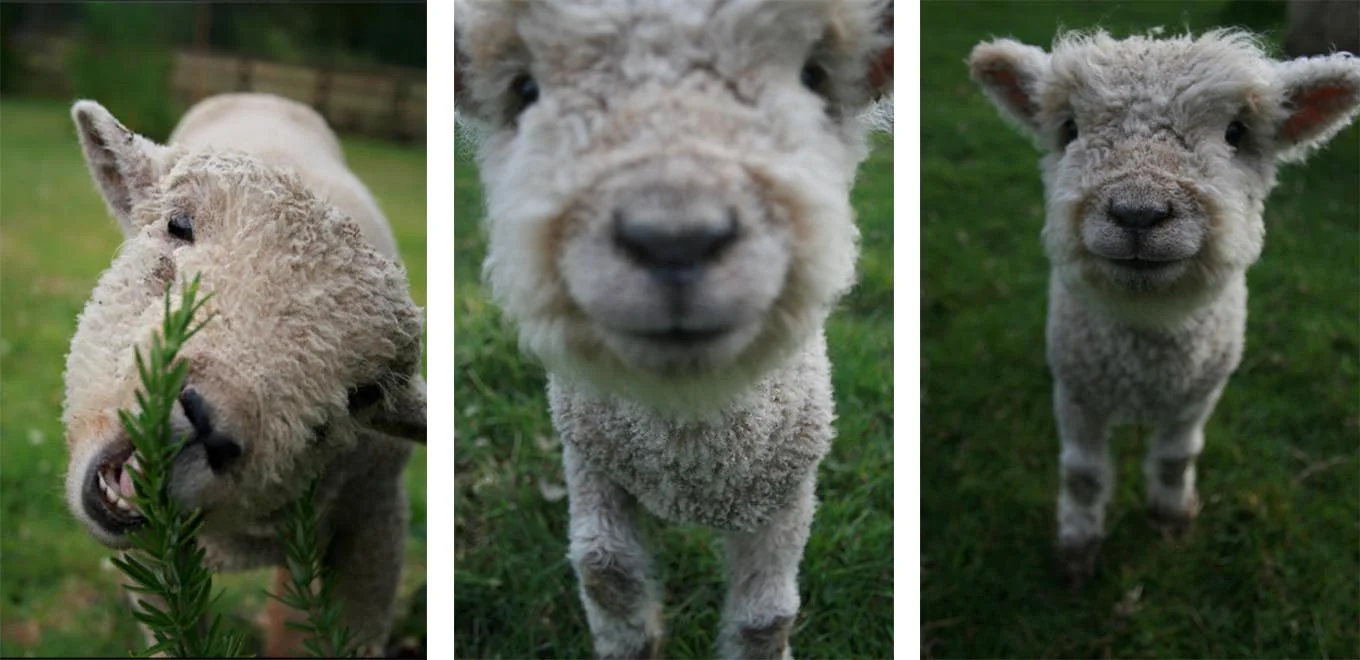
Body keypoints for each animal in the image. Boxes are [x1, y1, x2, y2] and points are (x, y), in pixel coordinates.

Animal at [455, 1, 892, 657]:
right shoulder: (591, 464)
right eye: (525, 91)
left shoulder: (790, 493)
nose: (675, 238)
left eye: (814, 77)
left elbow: (766, 619)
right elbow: (607, 575)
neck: (688, 445)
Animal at [968, 29, 1360, 585]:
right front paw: (1077, 546)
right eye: (1069, 129)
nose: (1138, 212)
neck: (1147, 346)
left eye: (1236, 133)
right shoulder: (1078, 390)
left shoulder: (1199, 392)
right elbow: (1083, 474)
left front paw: (1172, 516)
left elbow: (1177, 457)